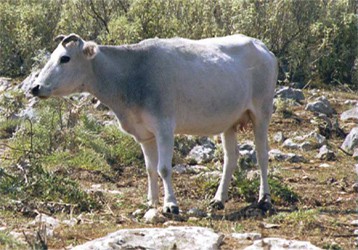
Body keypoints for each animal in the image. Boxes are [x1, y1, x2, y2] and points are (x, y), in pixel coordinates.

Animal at [32, 33, 278, 215]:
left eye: (65, 58)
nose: (35, 87)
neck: (131, 77)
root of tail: (261, 45)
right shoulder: (143, 133)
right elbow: (150, 168)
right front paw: (151, 202)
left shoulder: (164, 127)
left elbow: (164, 168)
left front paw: (170, 205)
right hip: (229, 121)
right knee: (230, 157)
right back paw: (218, 199)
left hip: (262, 111)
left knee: (262, 154)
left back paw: (264, 199)